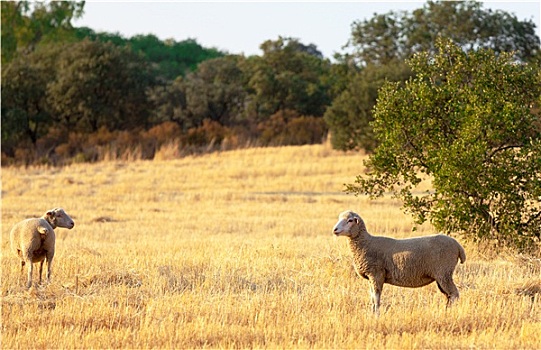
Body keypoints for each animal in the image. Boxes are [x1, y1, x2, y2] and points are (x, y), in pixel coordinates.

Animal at [334, 209, 464, 314]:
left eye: (350, 220)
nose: (335, 230)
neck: (365, 243)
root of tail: (458, 246)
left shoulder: (376, 274)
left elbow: (376, 298)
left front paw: (376, 315)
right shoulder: (371, 277)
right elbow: (372, 298)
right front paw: (371, 314)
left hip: (444, 272)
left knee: (454, 294)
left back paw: (450, 313)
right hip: (441, 275)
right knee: (449, 296)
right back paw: (446, 310)